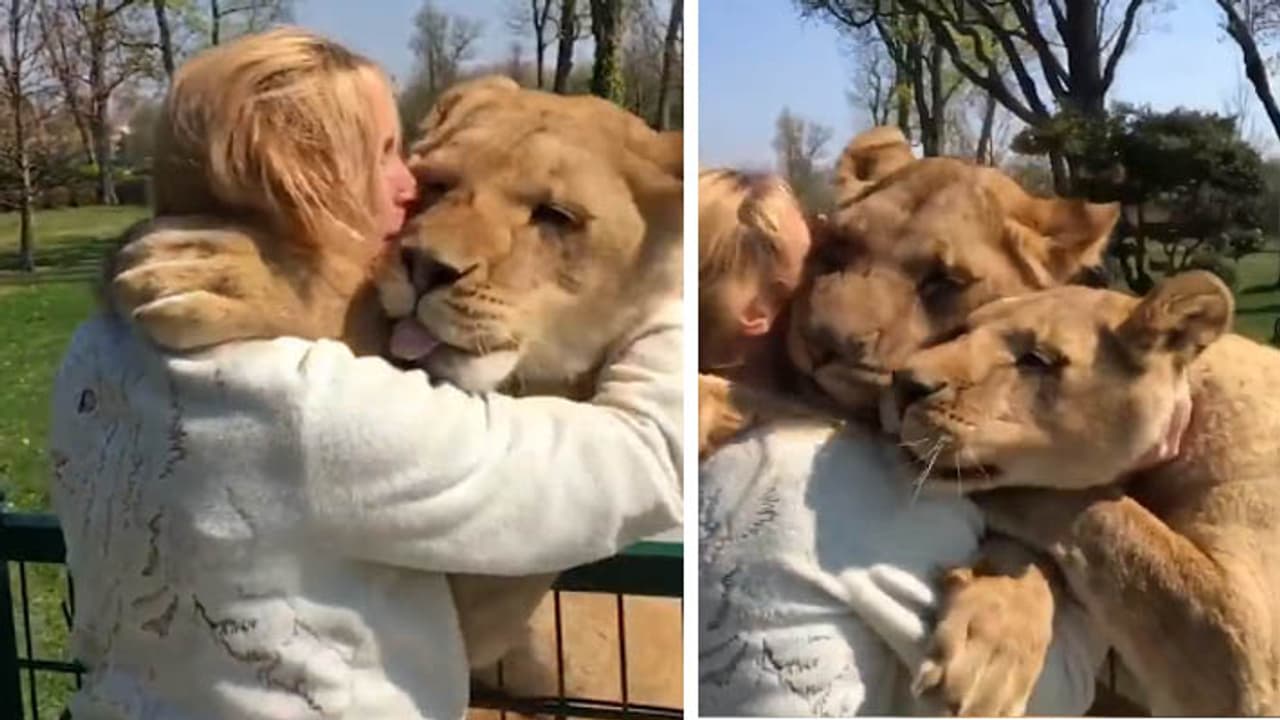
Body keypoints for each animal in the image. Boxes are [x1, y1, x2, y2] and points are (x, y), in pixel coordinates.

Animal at [888, 270, 1280, 715]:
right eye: (961, 331)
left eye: (1036, 359)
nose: (902, 382)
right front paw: (990, 647)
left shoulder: (1245, 642)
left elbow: (1105, 514)